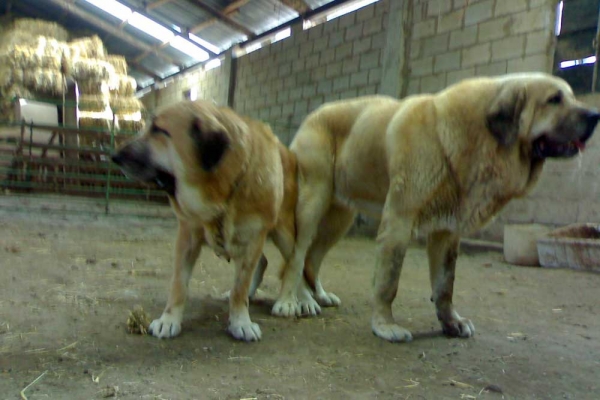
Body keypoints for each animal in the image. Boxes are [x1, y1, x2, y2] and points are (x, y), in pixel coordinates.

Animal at [110, 99, 298, 340]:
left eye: (159, 130)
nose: (114, 156)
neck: (223, 191)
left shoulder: (254, 238)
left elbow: (240, 287)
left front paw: (240, 321)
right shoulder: (187, 235)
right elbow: (179, 284)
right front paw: (169, 320)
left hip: (284, 234)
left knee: (295, 264)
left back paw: (294, 300)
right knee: (264, 262)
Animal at [274, 73, 600, 342]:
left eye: (572, 96)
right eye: (554, 99)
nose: (596, 115)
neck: (474, 137)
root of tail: (313, 114)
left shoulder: (447, 230)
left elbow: (445, 285)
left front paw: (451, 323)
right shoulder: (399, 220)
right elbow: (388, 281)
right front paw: (385, 325)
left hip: (340, 217)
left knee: (312, 258)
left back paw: (317, 295)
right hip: (313, 202)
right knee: (297, 254)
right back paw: (294, 301)